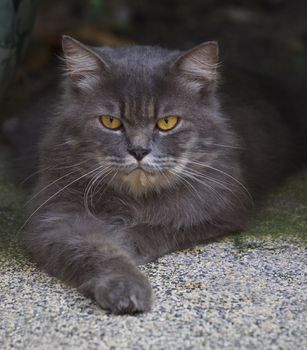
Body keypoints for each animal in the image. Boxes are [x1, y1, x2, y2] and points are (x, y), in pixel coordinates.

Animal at [19, 35, 304, 314]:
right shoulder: (58, 216)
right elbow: (98, 251)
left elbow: (158, 229)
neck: (136, 198)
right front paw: (125, 289)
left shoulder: (219, 211)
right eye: (110, 122)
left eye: (167, 123)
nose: (139, 150)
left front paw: (125, 240)